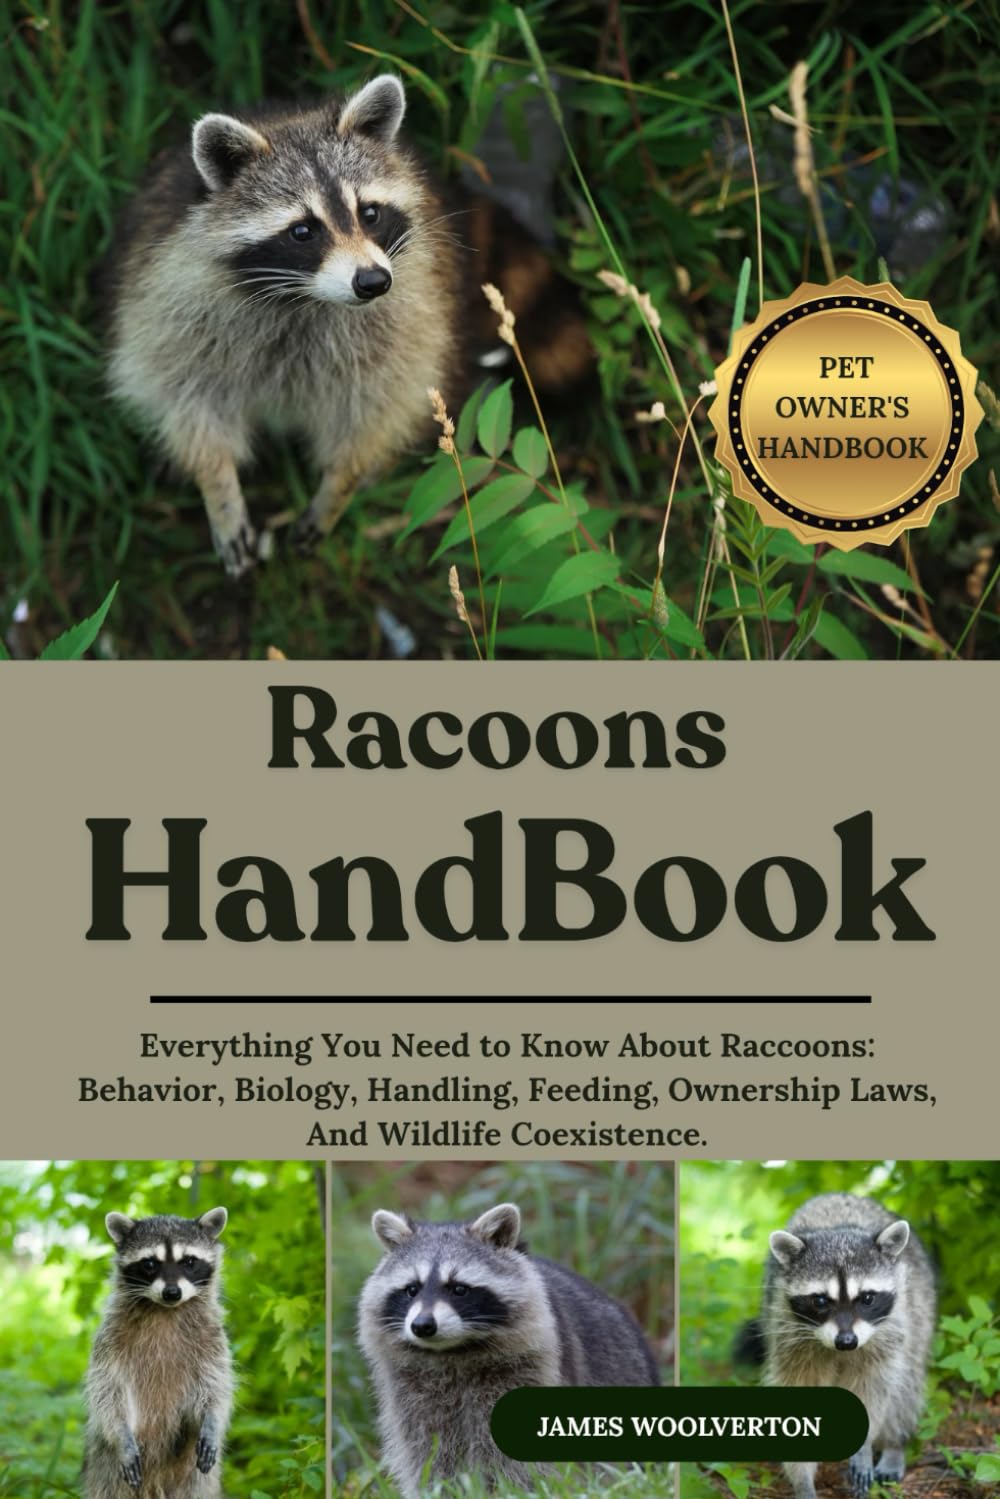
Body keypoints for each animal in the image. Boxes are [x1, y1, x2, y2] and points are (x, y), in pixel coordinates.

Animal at [84, 1208, 234, 1499]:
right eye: (150, 1263)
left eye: (189, 1261)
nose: (172, 1293)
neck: (165, 1310)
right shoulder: (109, 1341)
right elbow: (107, 1392)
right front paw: (121, 1435)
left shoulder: (212, 1340)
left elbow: (215, 1387)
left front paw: (212, 1420)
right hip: (104, 1466)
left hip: (193, 1475)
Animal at [104, 75, 590, 578]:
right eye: (303, 231)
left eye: (370, 213)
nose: (373, 281)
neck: (306, 299)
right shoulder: (174, 304)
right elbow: (187, 399)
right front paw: (218, 489)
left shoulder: (409, 316)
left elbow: (377, 408)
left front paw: (341, 485)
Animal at [357, 1201, 659, 1498]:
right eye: (411, 1289)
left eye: (459, 1289)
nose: (422, 1326)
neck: (454, 1353)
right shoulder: (413, 1390)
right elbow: (428, 1448)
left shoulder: (528, 1369)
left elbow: (511, 1458)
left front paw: (513, 1489)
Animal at [737, 1193, 936, 1499]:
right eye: (820, 1301)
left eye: (867, 1298)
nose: (846, 1342)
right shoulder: (788, 1335)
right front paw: (802, 1481)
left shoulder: (885, 1336)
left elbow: (874, 1390)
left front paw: (864, 1449)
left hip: (918, 1314)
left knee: (906, 1385)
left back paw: (894, 1444)